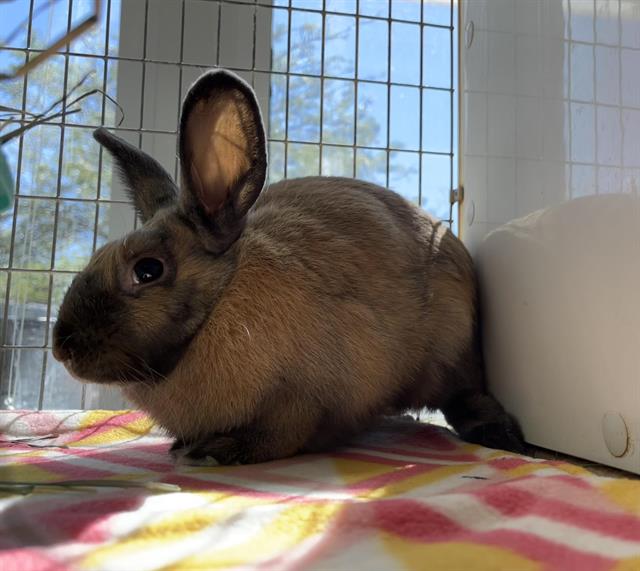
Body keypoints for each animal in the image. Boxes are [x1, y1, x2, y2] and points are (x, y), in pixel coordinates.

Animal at [51, 70, 524, 464]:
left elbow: (280, 435)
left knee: (466, 394)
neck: (223, 297)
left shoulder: (305, 399)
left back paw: (500, 435)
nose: (62, 349)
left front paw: (220, 450)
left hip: (453, 352)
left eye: (148, 270)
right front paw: (184, 444)